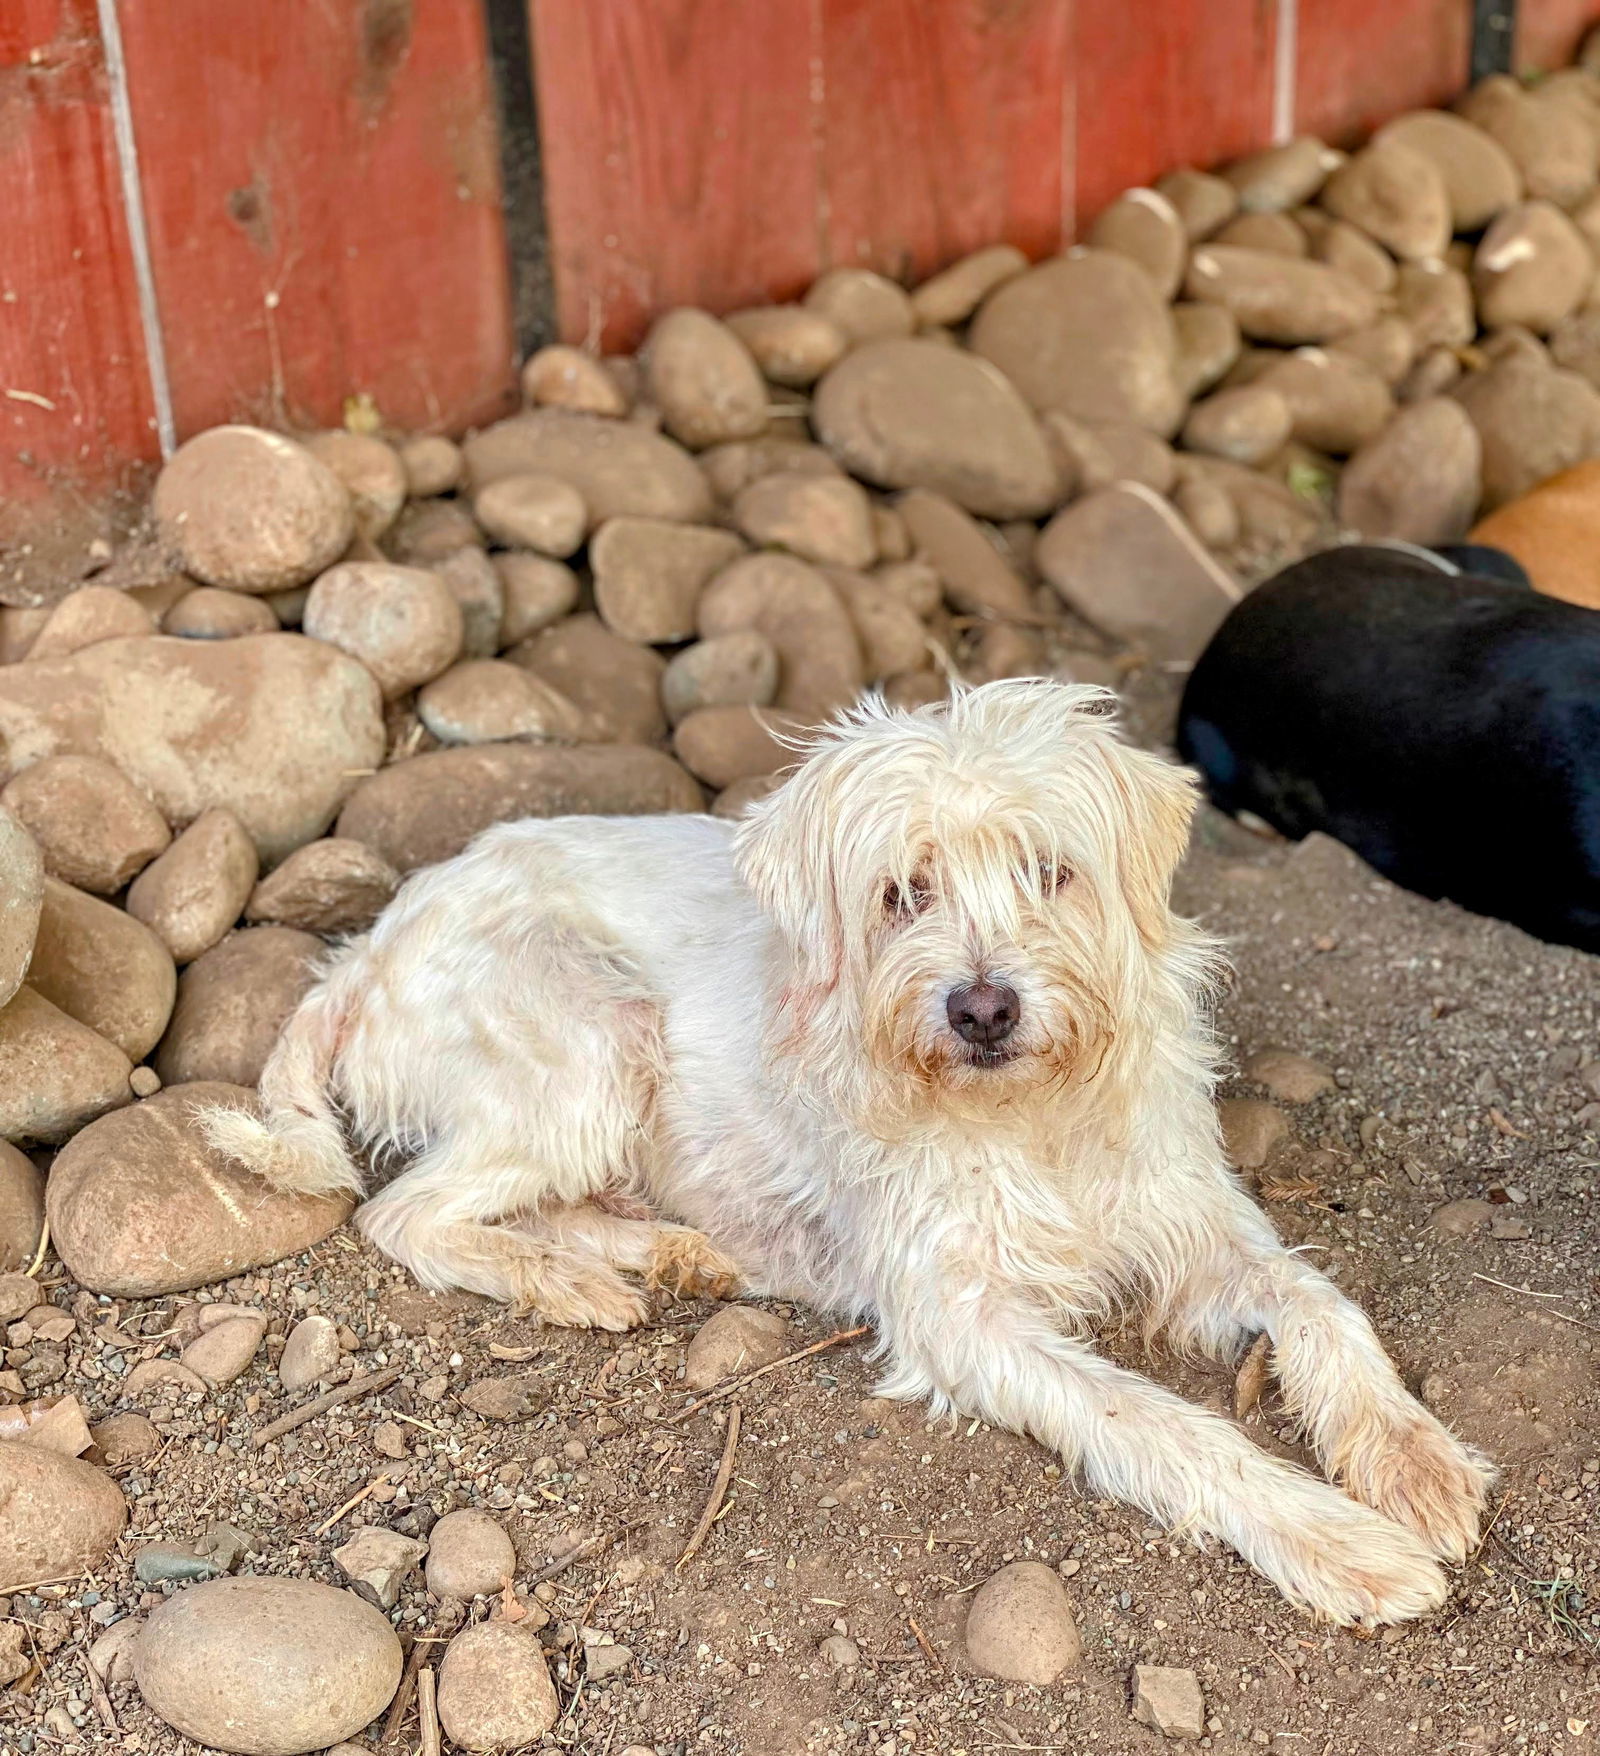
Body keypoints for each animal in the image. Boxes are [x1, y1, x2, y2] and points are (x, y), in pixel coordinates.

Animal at [206, 677, 1496, 1622]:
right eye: (901, 890)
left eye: (1049, 871)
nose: (982, 1009)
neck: (1027, 1114)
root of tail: (364, 949)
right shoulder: (963, 1316)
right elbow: (1164, 1424)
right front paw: (1338, 1542)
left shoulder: (1197, 1224)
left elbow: (1322, 1303)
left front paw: (1413, 1463)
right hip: (592, 1039)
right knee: (402, 1210)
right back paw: (566, 1281)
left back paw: (662, 1253)